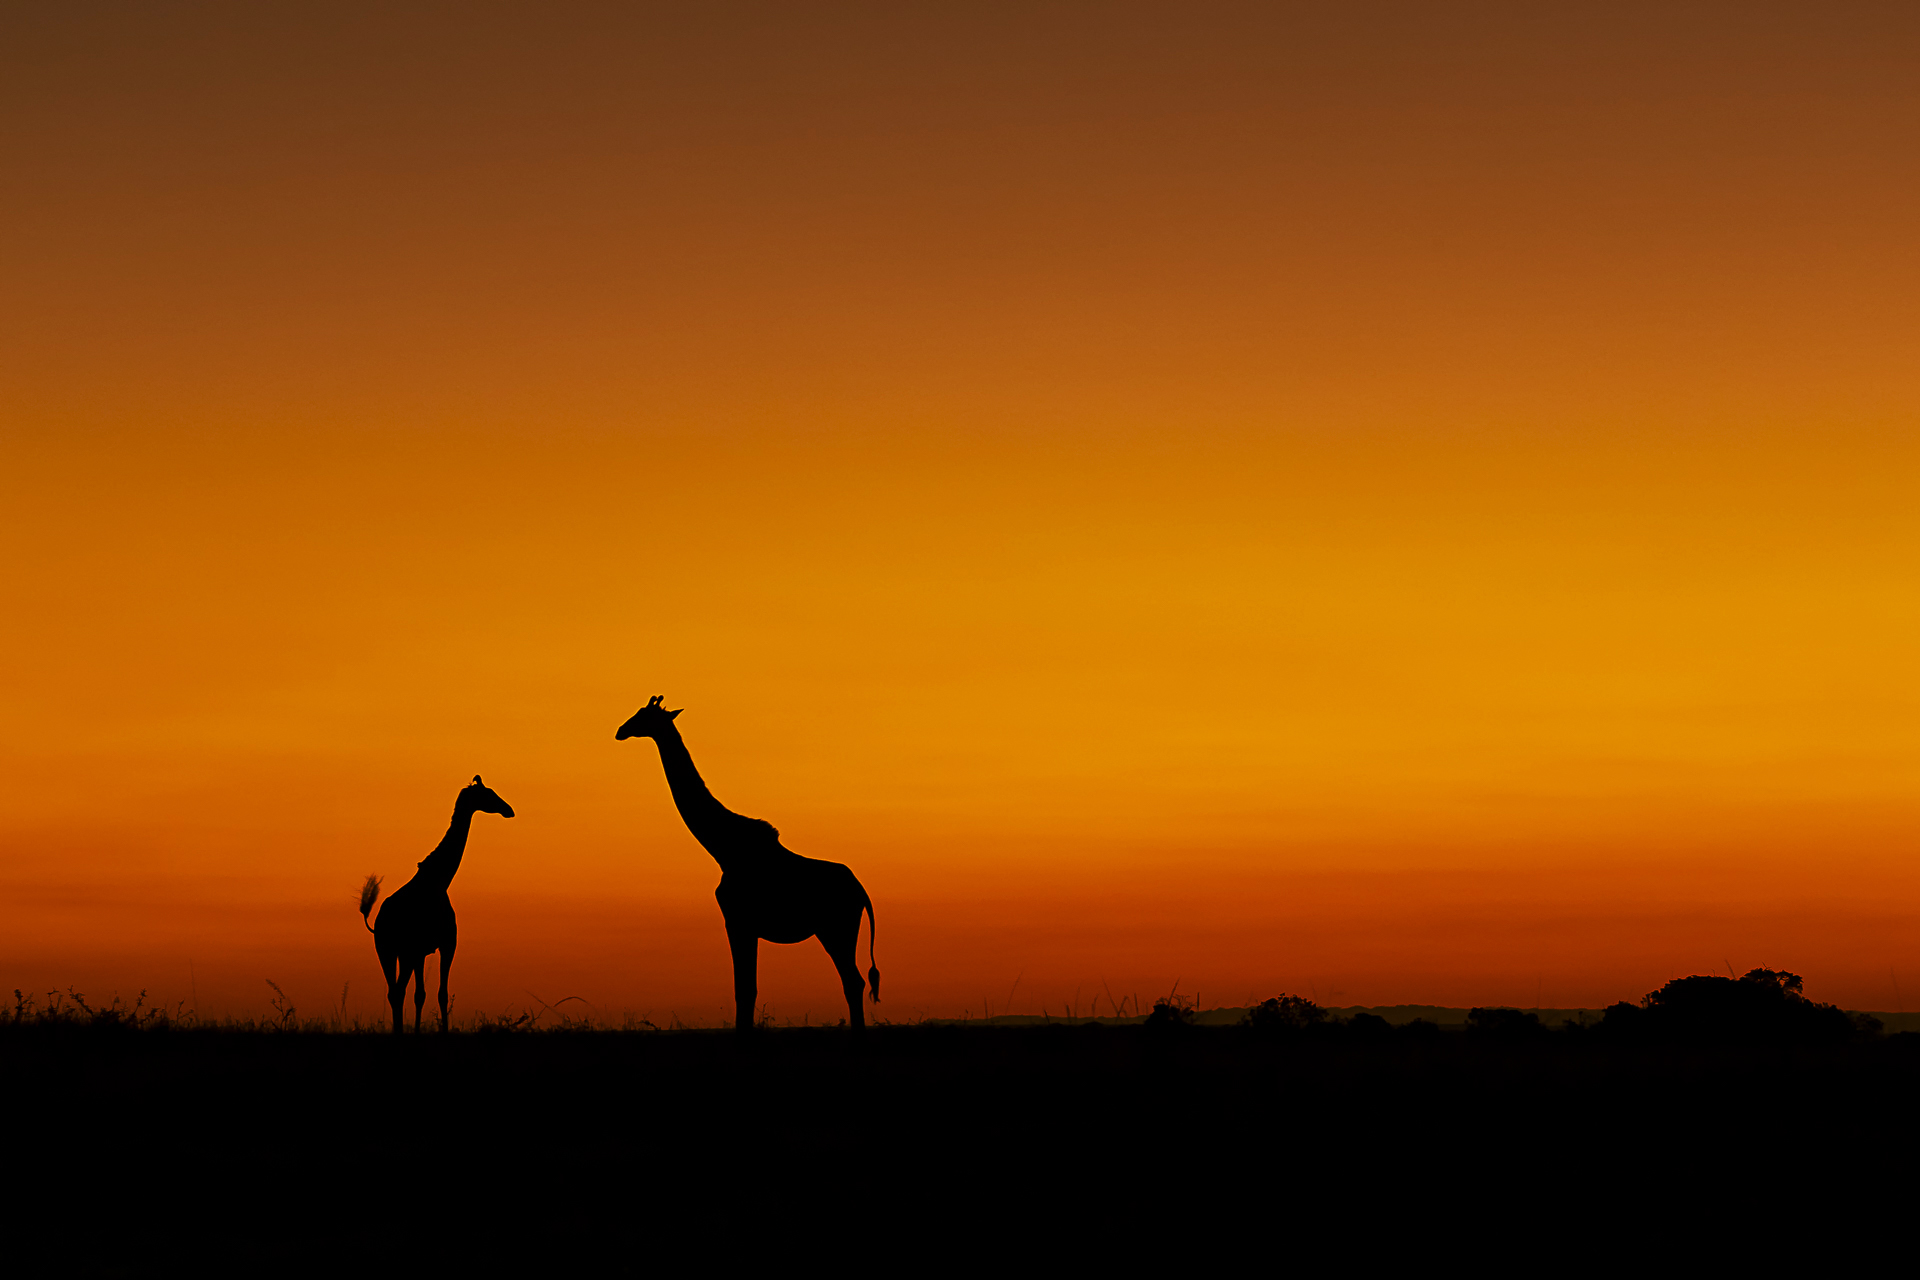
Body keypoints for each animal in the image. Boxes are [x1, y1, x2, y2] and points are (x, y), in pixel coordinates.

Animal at [358, 776, 515, 1033]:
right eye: (488, 794)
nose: (509, 810)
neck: (439, 880)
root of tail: (377, 922)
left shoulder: (427, 950)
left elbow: (424, 994)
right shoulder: (444, 944)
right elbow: (436, 993)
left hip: (388, 950)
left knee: (394, 992)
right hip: (399, 951)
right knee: (397, 991)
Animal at [616, 697, 880, 1032]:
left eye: (643, 715)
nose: (620, 731)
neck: (724, 847)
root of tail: (861, 891)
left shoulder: (737, 919)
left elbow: (744, 988)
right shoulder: (745, 924)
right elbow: (747, 988)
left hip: (836, 927)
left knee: (853, 981)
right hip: (836, 929)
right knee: (853, 981)